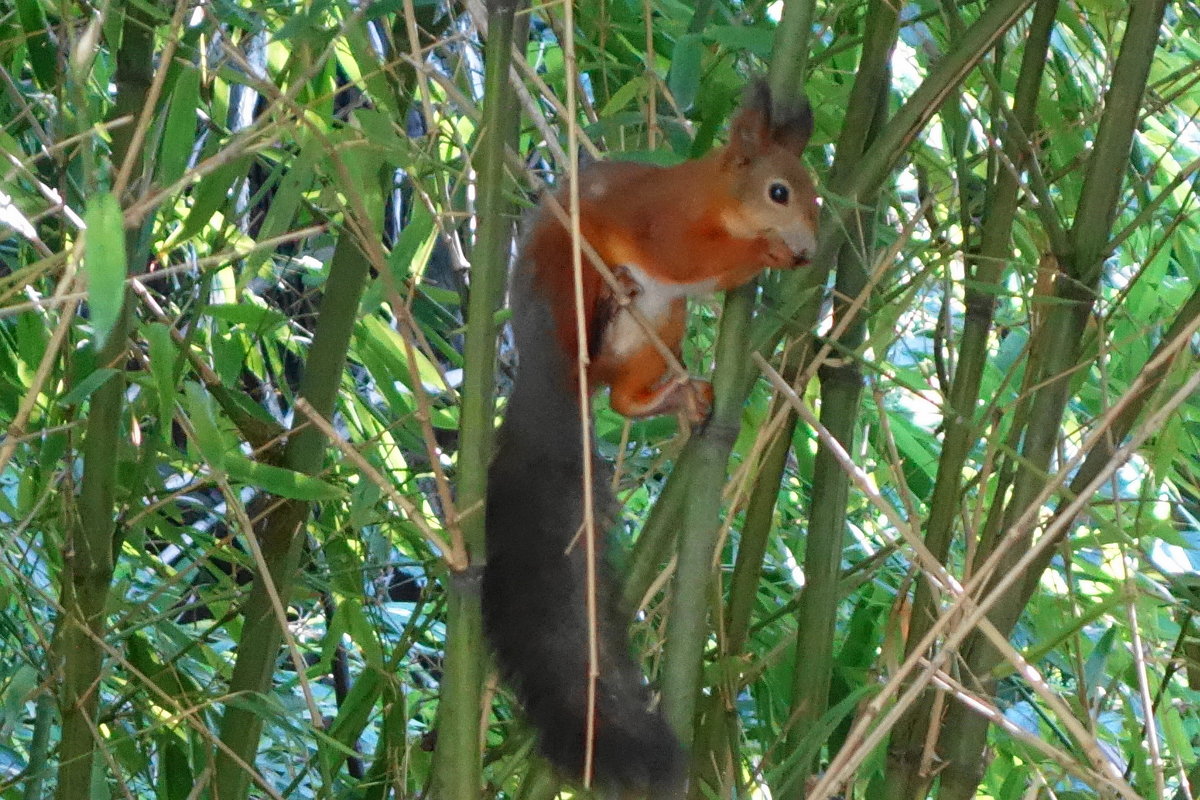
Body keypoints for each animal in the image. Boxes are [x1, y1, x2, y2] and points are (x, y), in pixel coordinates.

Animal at [482, 81, 820, 796]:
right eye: (779, 192)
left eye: (815, 194)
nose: (807, 249)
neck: (714, 200)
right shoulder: (663, 223)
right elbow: (685, 257)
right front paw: (766, 256)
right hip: (571, 275)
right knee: (594, 331)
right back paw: (608, 308)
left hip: (662, 323)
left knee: (617, 395)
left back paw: (679, 397)